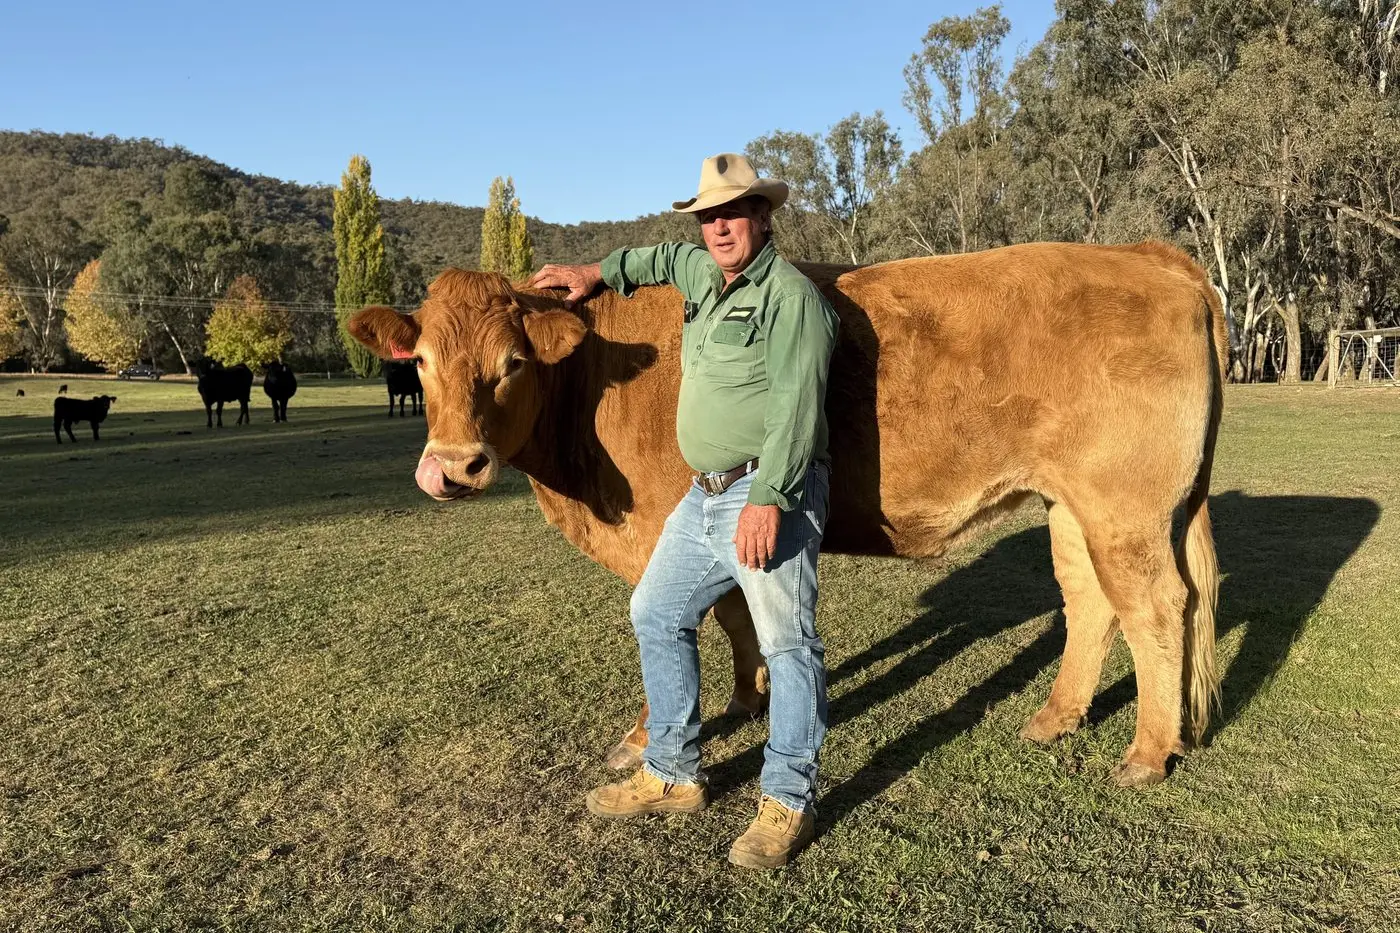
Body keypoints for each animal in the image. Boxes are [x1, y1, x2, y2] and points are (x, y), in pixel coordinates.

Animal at [347, 240, 1227, 788]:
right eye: (419, 362)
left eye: (513, 362)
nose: (453, 466)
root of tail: (1144, 253)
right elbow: (736, 614)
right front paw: (749, 696)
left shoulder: (660, 536)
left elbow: (672, 632)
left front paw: (645, 738)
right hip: (1072, 506)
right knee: (1091, 602)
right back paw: (1055, 717)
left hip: (1125, 508)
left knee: (1157, 608)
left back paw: (1147, 751)